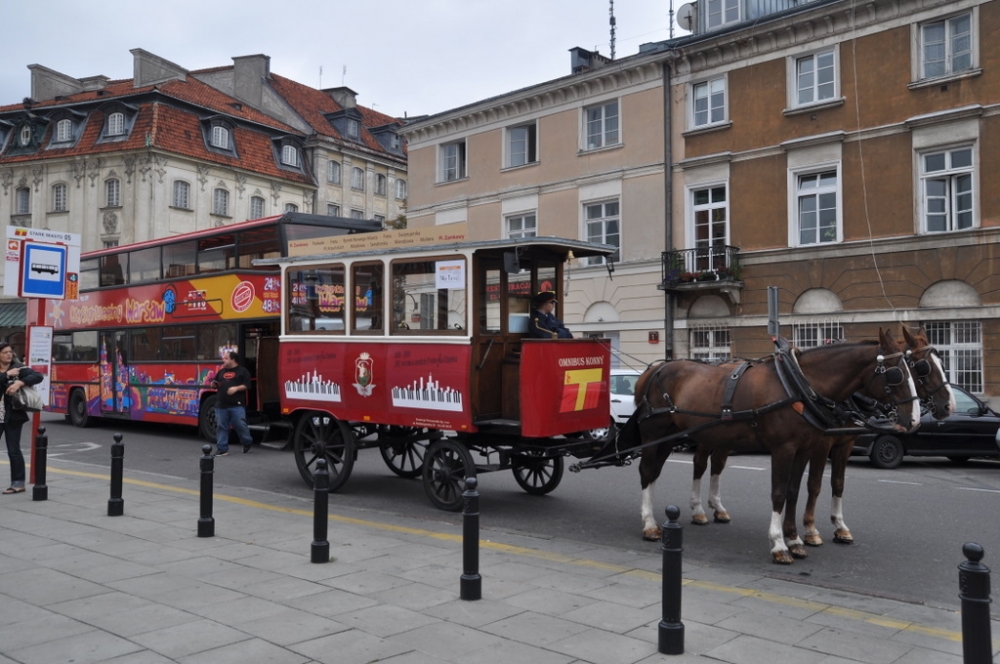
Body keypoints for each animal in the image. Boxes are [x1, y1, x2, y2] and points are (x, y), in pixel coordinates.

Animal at [636, 330, 916, 564]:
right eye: (897, 374)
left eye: (916, 368)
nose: (913, 419)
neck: (799, 386)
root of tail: (655, 369)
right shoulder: (784, 449)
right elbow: (779, 493)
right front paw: (779, 543)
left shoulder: (804, 450)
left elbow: (794, 491)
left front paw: (794, 539)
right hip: (653, 433)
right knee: (648, 471)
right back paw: (649, 524)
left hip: (671, 435)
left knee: (658, 471)